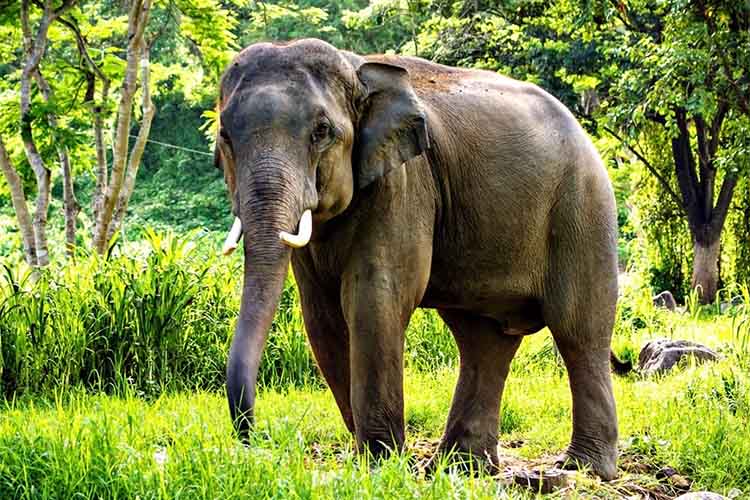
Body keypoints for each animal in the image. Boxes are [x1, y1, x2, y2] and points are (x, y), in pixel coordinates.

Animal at [214, 38, 620, 480]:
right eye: (225, 136)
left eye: (321, 131)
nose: (255, 440)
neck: (357, 70)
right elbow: (322, 317)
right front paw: (373, 460)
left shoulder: (405, 184)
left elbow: (375, 299)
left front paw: (380, 463)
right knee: (483, 341)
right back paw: (463, 466)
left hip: (583, 208)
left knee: (578, 330)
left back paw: (582, 469)